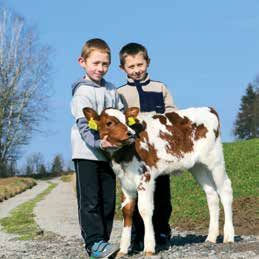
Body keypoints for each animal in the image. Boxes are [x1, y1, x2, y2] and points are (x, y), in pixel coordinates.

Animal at [83, 106, 236, 256]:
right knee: (211, 194)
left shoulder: (146, 178)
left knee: (225, 190)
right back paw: (211, 237)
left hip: (215, 160)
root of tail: (208, 108)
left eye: (127, 121)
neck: (122, 157)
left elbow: (144, 209)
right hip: (198, 166)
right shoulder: (125, 182)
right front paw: (123, 250)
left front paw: (149, 247)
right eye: (109, 122)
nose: (130, 133)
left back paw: (228, 236)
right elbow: (127, 211)